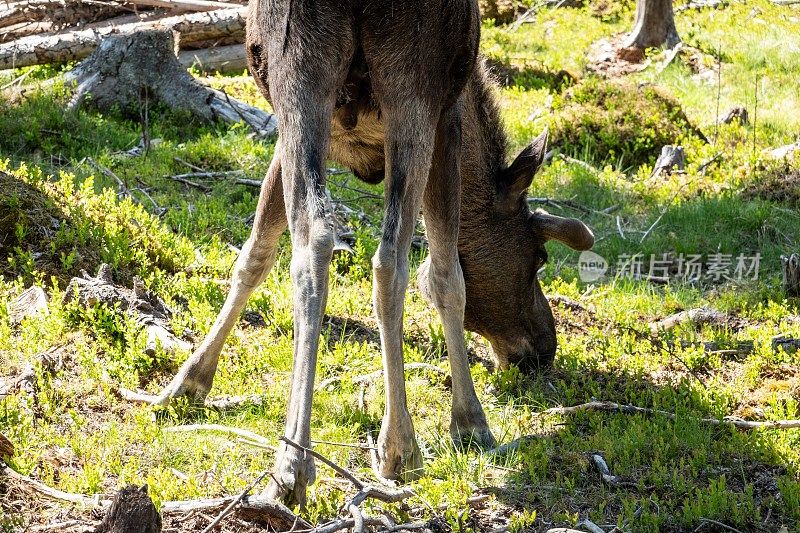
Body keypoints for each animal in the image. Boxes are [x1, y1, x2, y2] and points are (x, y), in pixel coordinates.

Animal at [130, 0, 592, 504]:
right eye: (537, 258)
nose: (544, 347)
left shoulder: (299, 131)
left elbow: (254, 254)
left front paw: (186, 382)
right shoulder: (447, 119)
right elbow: (447, 276)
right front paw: (469, 422)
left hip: (302, 79)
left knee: (313, 241)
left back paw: (293, 460)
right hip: (410, 85)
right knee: (391, 260)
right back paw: (399, 444)